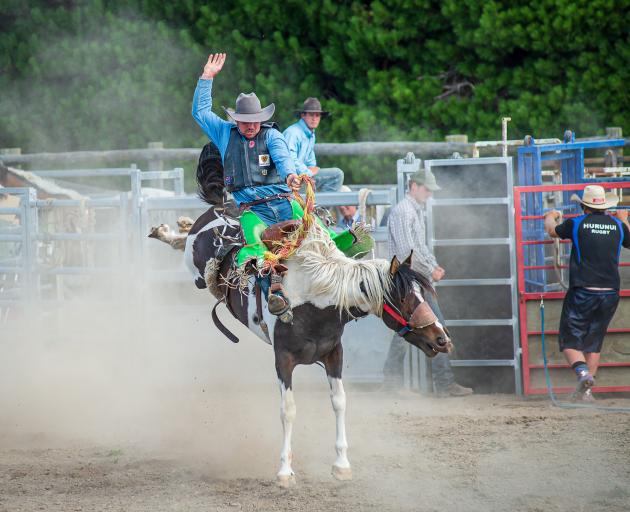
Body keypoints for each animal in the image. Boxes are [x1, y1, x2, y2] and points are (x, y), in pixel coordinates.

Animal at [158, 202, 454, 486]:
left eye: (421, 294)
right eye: (404, 299)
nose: (442, 340)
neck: (316, 301)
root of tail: (221, 208)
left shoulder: (334, 354)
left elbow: (339, 402)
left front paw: (341, 465)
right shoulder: (283, 359)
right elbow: (288, 410)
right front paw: (285, 471)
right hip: (197, 271)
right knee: (185, 246)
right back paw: (170, 231)